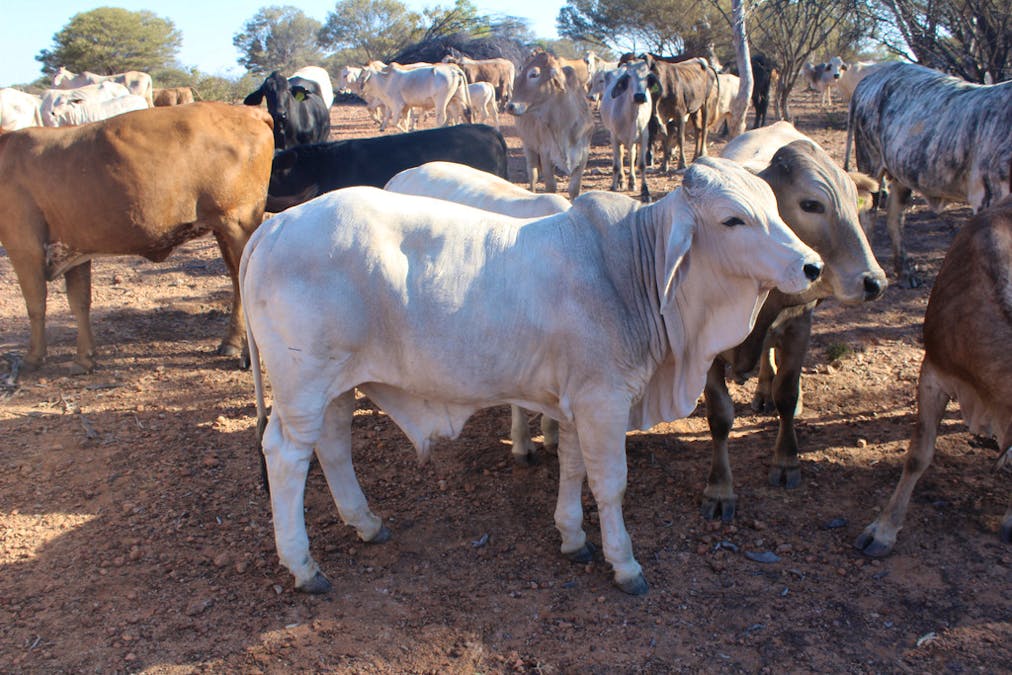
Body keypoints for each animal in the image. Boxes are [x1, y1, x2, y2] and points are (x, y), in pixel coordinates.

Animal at [0, 104, 275, 374]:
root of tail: (248, 111)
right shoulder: (74, 247)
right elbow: (79, 302)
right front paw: (84, 358)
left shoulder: (24, 247)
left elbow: (36, 304)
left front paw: (33, 358)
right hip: (223, 229)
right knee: (237, 283)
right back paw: (231, 343)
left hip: (238, 223)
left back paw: (252, 357)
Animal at [242, 156, 821, 595]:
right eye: (732, 220)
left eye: (774, 208)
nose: (811, 266)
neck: (628, 268)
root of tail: (274, 225)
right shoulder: (604, 400)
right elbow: (610, 483)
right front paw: (625, 564)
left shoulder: (575, 401)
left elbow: (573, 468)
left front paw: (573, 538)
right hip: (303, 385)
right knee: (286, 456)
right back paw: (305, 568)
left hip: (336, 385)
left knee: (333, 446)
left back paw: (366, 524)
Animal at [505, 50, 591, 198]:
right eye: (520, 72)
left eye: (534, 74)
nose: (510, 106)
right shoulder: (545, 153)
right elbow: (551, 186)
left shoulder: (583, 154)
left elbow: (574, 188)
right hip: (528, 145)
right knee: (532, 175)